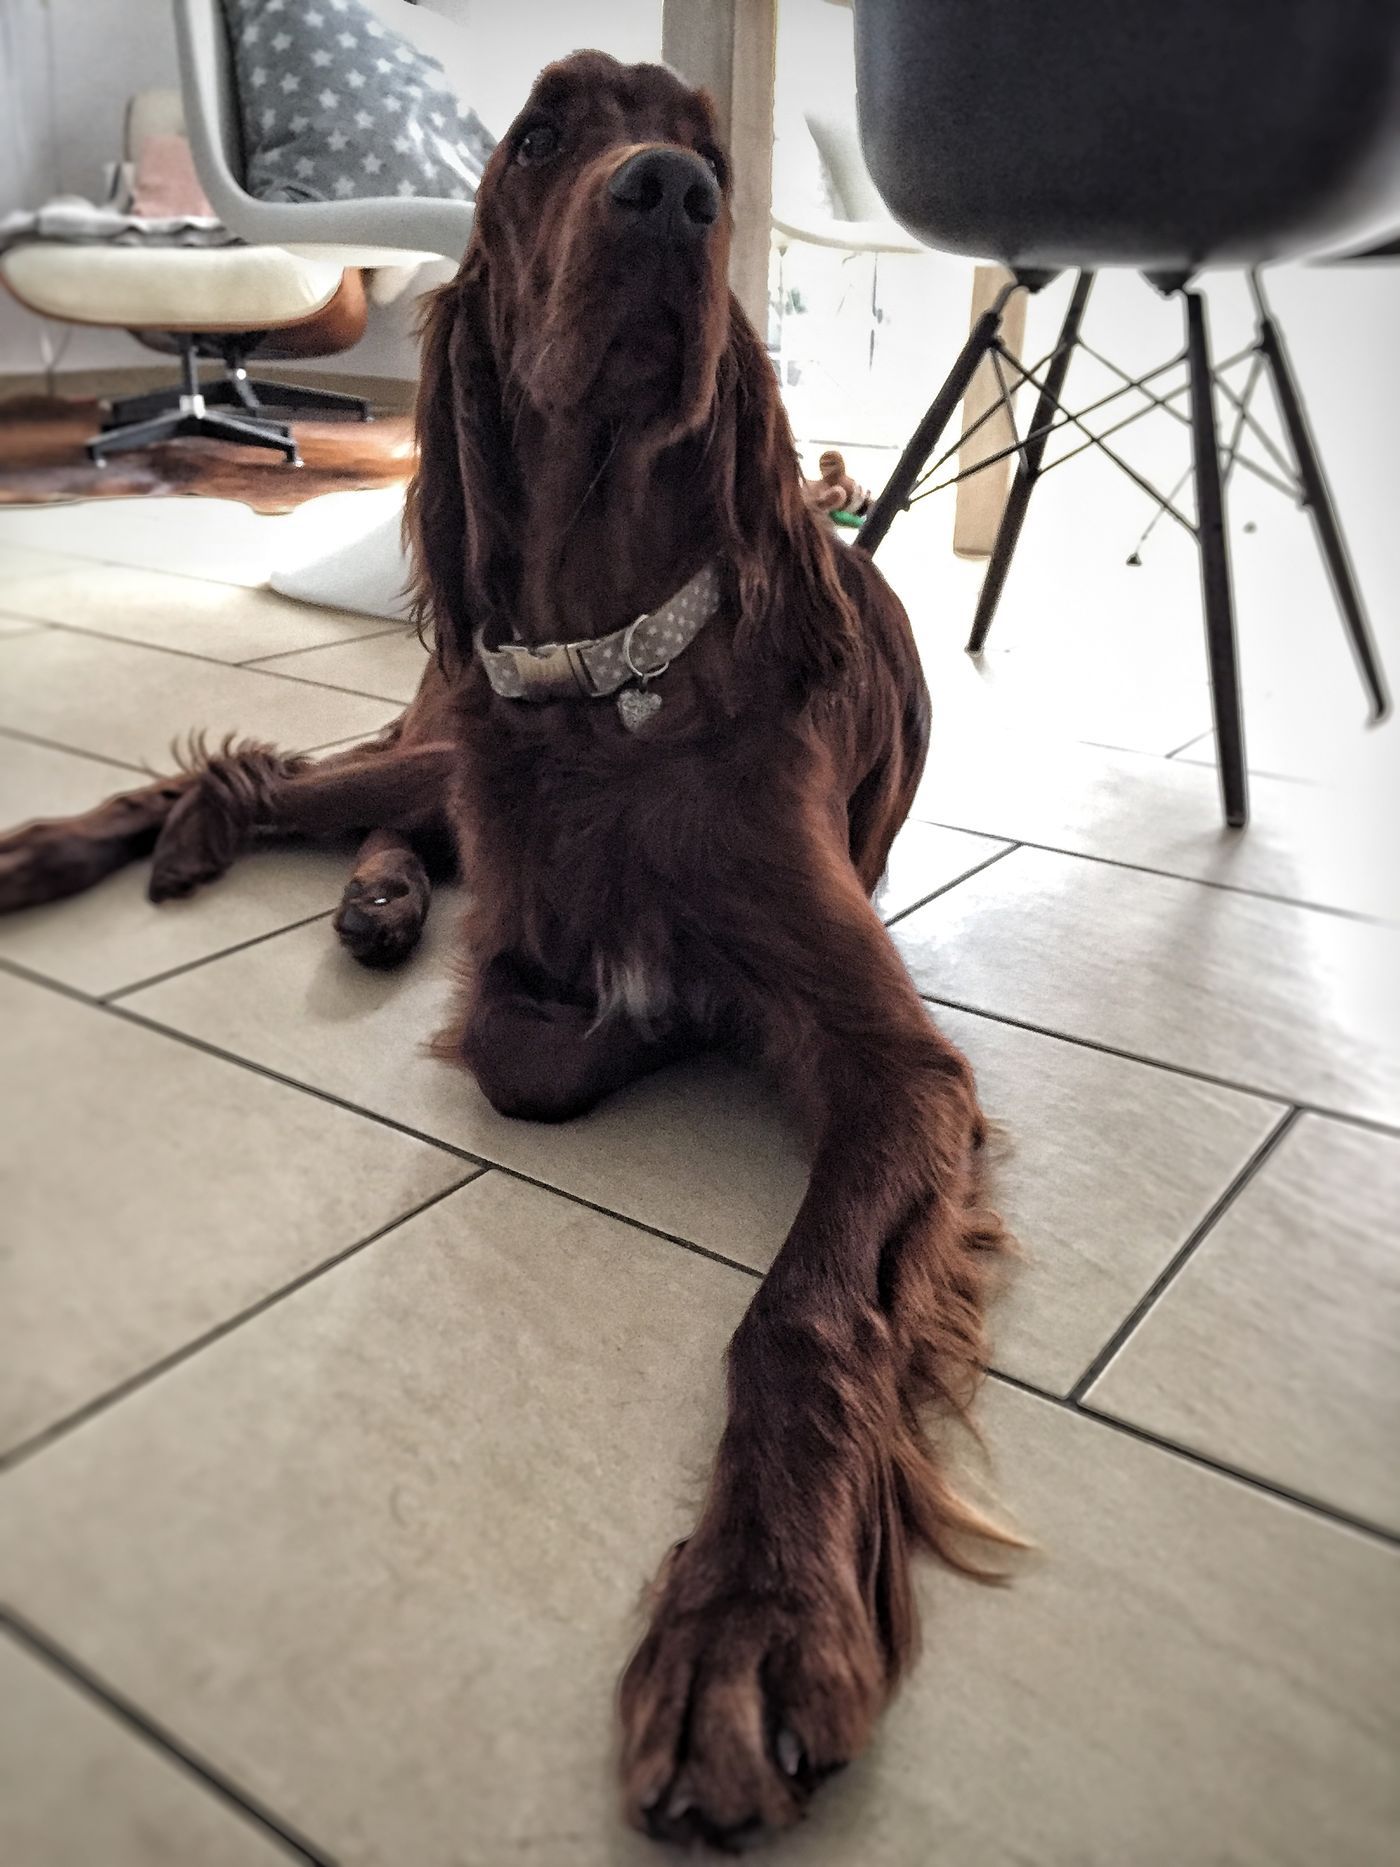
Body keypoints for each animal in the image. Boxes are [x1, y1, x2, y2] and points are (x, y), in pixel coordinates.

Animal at [0, 51, 1015, 1844]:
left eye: (710, 151)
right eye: (543, 137)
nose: (672, 194)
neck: (617, 664)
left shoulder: (900, 1062)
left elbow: (804, 1307)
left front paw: (752, 1616)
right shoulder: (525, 864)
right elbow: (526, 1025)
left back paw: (373, 900)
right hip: (429, 745)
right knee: (251, 777)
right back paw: (87, 856)